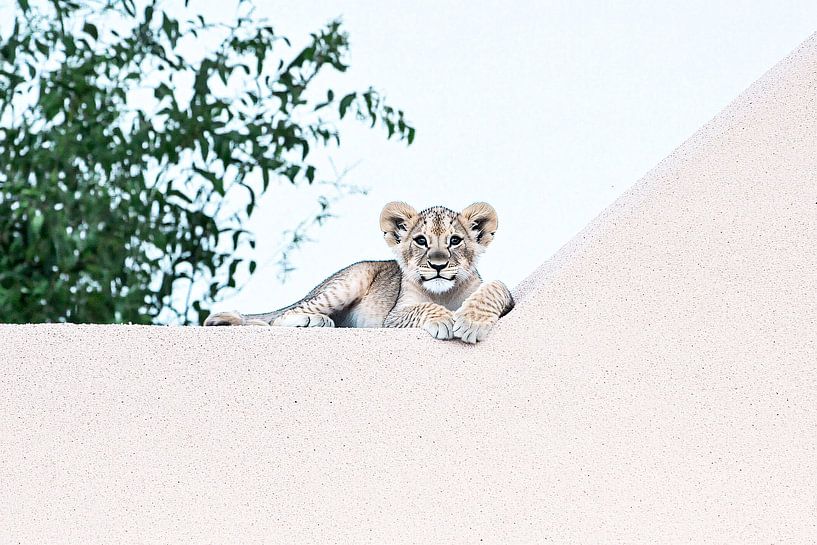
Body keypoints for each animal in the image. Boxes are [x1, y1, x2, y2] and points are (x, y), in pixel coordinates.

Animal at [204, 201, 514, 343]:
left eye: (455, 241)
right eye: (421, 241)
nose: (438, 264)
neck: (444, 293)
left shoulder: (499, 294)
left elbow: (496, 287)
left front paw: (470, 322)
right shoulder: (394, 317)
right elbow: (423, 308)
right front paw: (445, 319)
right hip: (345, 283)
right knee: (282, 316)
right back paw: (312, 321)